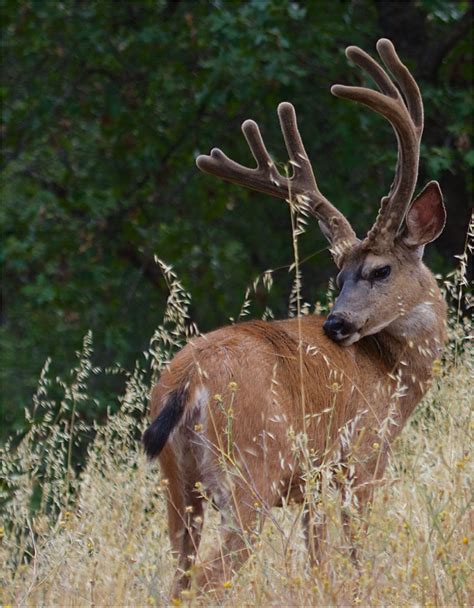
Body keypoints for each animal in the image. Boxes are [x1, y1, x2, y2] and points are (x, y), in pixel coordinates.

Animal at [143, 39, 446, 600]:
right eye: (343, 274)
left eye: (376, 269)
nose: (337, 324)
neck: (394, 377)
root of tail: (188, 380)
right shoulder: (362, 458)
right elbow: (354, 557)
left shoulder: (311, 485)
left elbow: (319, 561)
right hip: (250, 468)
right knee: (207, 581)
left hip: (177, 486)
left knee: (178, 579)